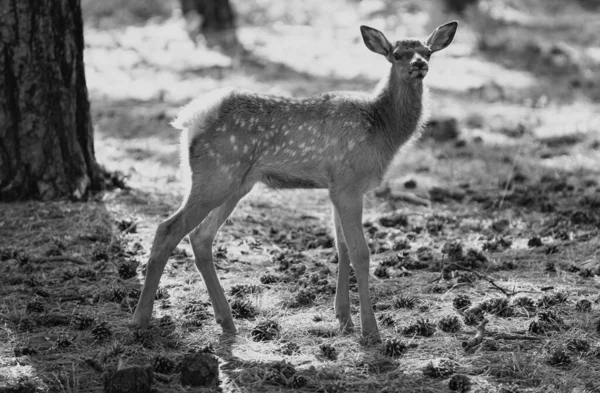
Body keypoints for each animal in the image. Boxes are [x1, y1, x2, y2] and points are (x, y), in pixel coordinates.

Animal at [132, 19, 460, 342]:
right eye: (396, 54)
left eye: (428, 52)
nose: (419, 64)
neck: (382, 128)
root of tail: (190, 120)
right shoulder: (349, 182)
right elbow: (361, 253)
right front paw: (370, 330)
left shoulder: (338, 186)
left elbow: (341, 247)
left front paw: (343, 319)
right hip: (216, 174)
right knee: (167, 229)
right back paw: (141, 319)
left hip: (236, 183)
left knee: (200, 237)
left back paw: (227, 322)